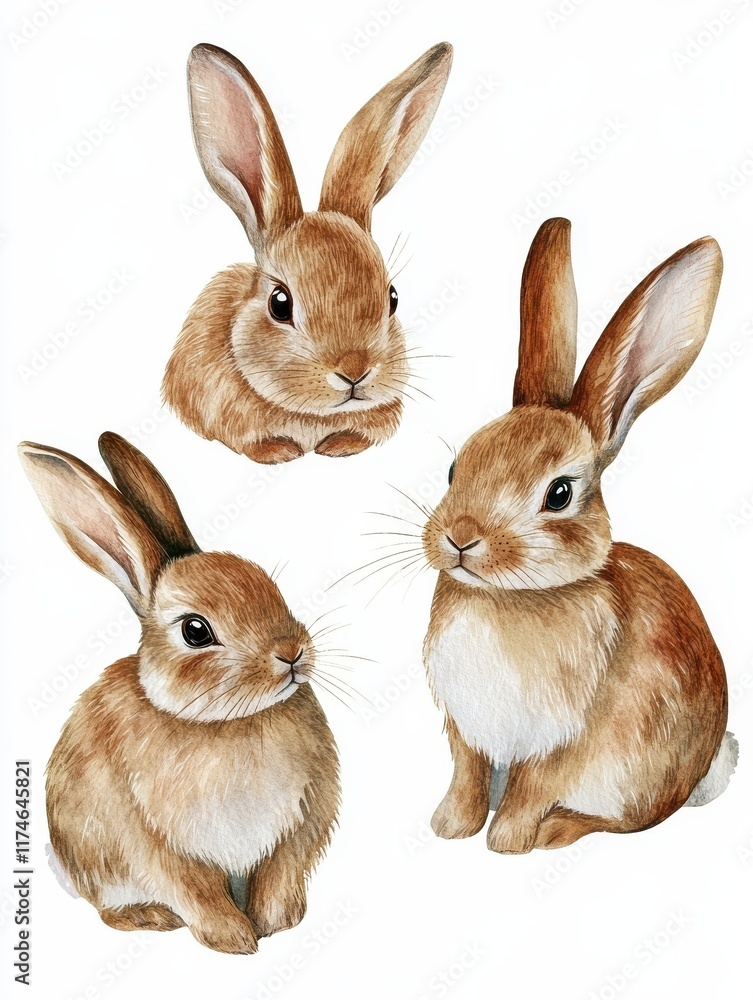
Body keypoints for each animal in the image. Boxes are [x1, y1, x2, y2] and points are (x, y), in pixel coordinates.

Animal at [18, 432, 340, 953]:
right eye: (195, 631)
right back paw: (150, 917)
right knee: (111, 911)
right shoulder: (154, 843)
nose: (291, 653)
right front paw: (235, 941)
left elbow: (278, 877)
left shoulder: (297, 829)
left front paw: (276, 924)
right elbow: (196, 889)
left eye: (271, 587)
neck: (225, 722)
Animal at [421, 218, 737, 854]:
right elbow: (467, 777)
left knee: (630, 819)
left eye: (560, 494)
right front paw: (450, 828)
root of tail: (706, 769)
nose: (462, 538)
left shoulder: (566, 738)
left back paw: (557, 831)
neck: (511, 597)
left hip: (633, 777)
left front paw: (507, 842)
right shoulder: (465, 730)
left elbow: (532, 787)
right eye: (454, 468)